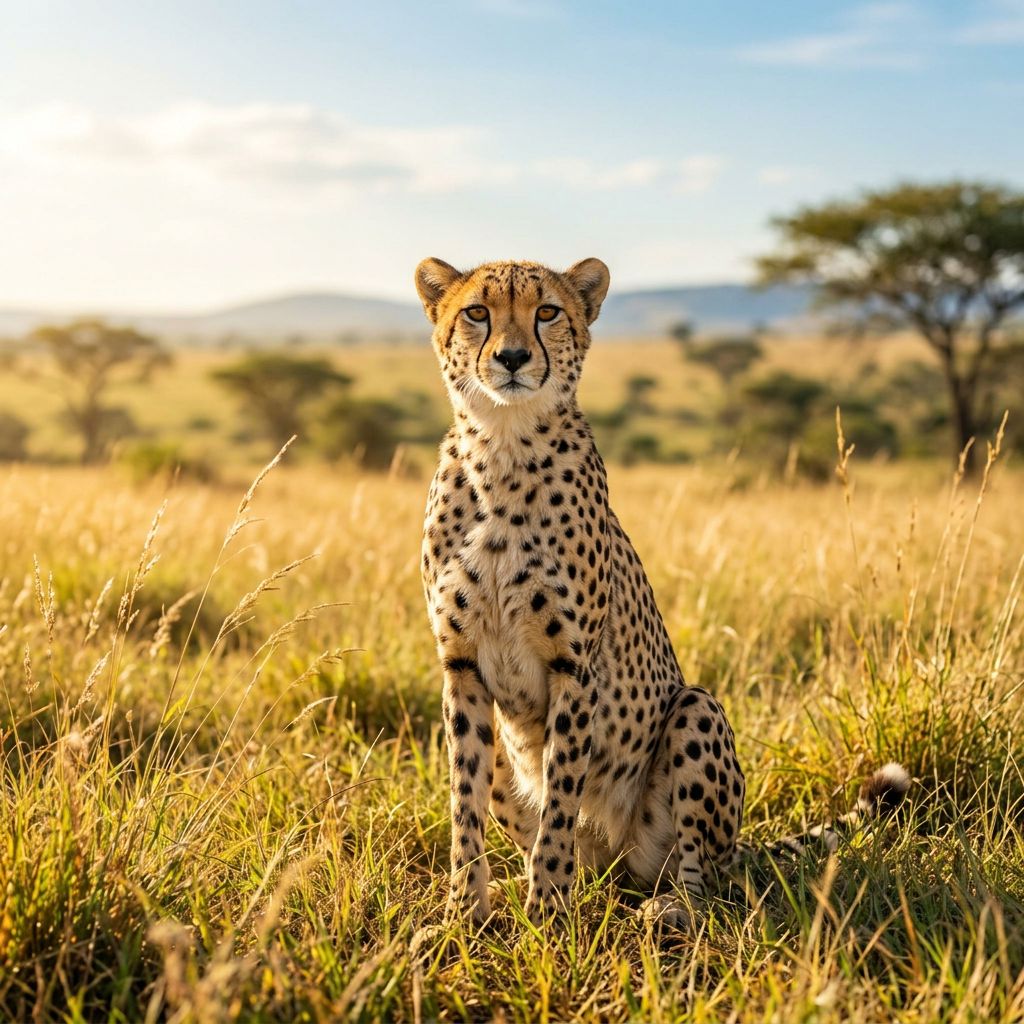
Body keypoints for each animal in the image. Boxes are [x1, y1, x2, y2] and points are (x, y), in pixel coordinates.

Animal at [415, 255, 910, 930]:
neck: (503, 446)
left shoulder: (575, 666)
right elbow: (465, 799)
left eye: (547, 311)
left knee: (703, 878)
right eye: (476, 313)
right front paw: (463, 916)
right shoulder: (461, 667)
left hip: (696, 714)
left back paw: (666, 908)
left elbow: (559, 802)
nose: (513, 357)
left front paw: (548, 915)